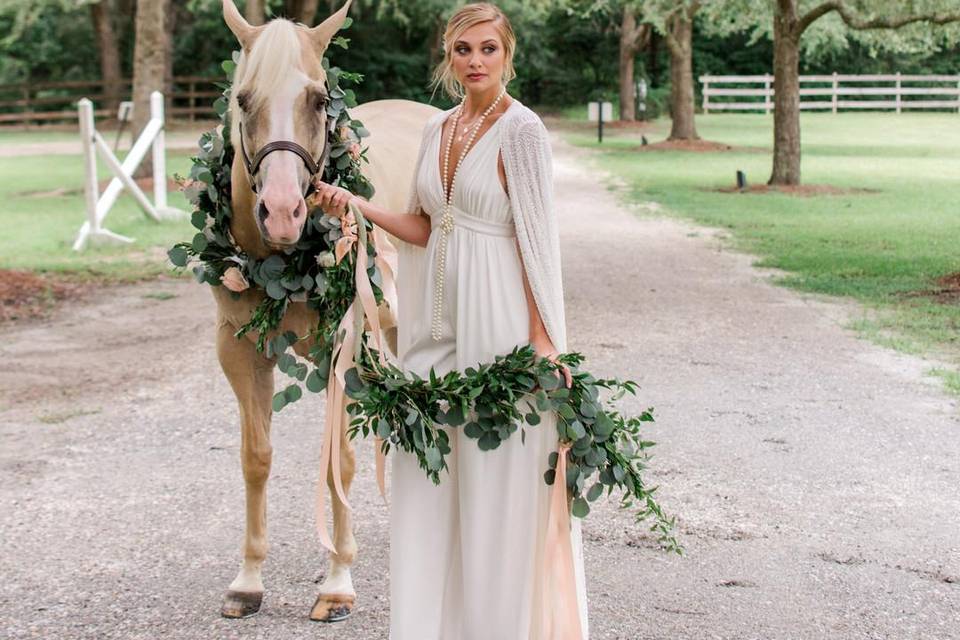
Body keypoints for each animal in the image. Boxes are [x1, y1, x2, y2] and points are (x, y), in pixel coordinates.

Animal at [216, 0, 436, 620]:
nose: (282, 212)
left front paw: (338, 582)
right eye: (243, 99)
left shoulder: (345, 353)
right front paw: (248, 580)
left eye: (318, 99)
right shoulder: (239, 354)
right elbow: (255, 458)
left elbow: (339, 461)